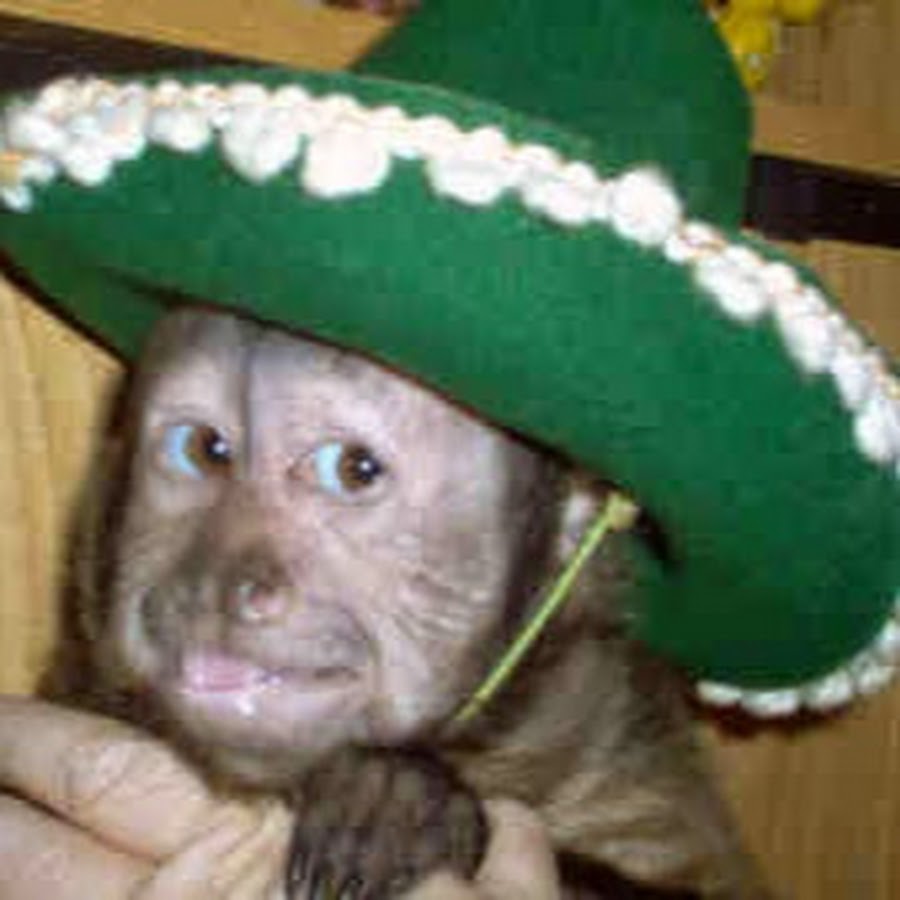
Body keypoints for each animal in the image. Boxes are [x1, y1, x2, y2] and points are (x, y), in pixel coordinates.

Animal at [46, 307, 770, 900]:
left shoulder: (621, 726)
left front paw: (391, 798)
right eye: (202, 448)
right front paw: (390, 791)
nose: (217, 585)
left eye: (352, 468)